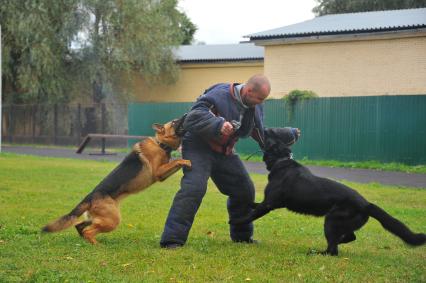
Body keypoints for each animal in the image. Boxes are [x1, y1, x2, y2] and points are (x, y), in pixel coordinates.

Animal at [42, 115, 191, 244]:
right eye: (174, 122)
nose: (186, 114)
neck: (160, 144)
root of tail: (89, 197)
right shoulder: (158, 172)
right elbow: (176, 160)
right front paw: (186, 161)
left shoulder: (162, 175)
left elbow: (174, 163)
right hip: (112, 220)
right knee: (88, 231)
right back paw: (97, 245)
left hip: (98, 218)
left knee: (79, 227)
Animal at [231, 127, 424, 256]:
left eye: (272, 134)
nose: (264, 128)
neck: (281, 160)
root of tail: (366, 204)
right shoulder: (268, 202)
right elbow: (252, 203)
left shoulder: (269, 204)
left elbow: (251, 215)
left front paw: (236, 220)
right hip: (340, 223)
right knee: (349, 237)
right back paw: (336, 242)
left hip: (331, 221)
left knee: (333, 250)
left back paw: (316, 252)